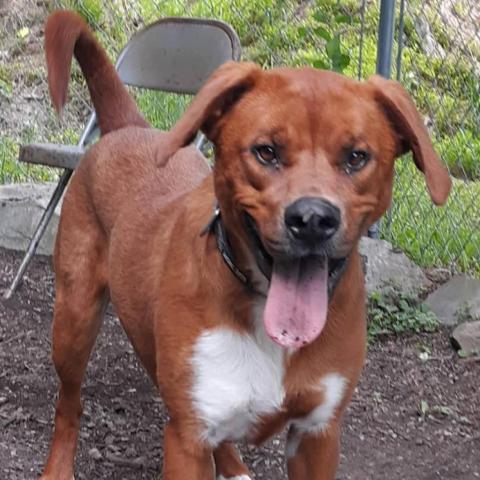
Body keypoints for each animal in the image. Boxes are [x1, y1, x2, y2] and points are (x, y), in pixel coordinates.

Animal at [40, 9, 450, 478]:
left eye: (356, 157)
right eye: (266, 151)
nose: (313, 219)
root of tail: (130, 127)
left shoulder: (318, 434)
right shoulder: (186, 440)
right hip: (74, 320)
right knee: (68, 404)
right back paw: (58, 466)